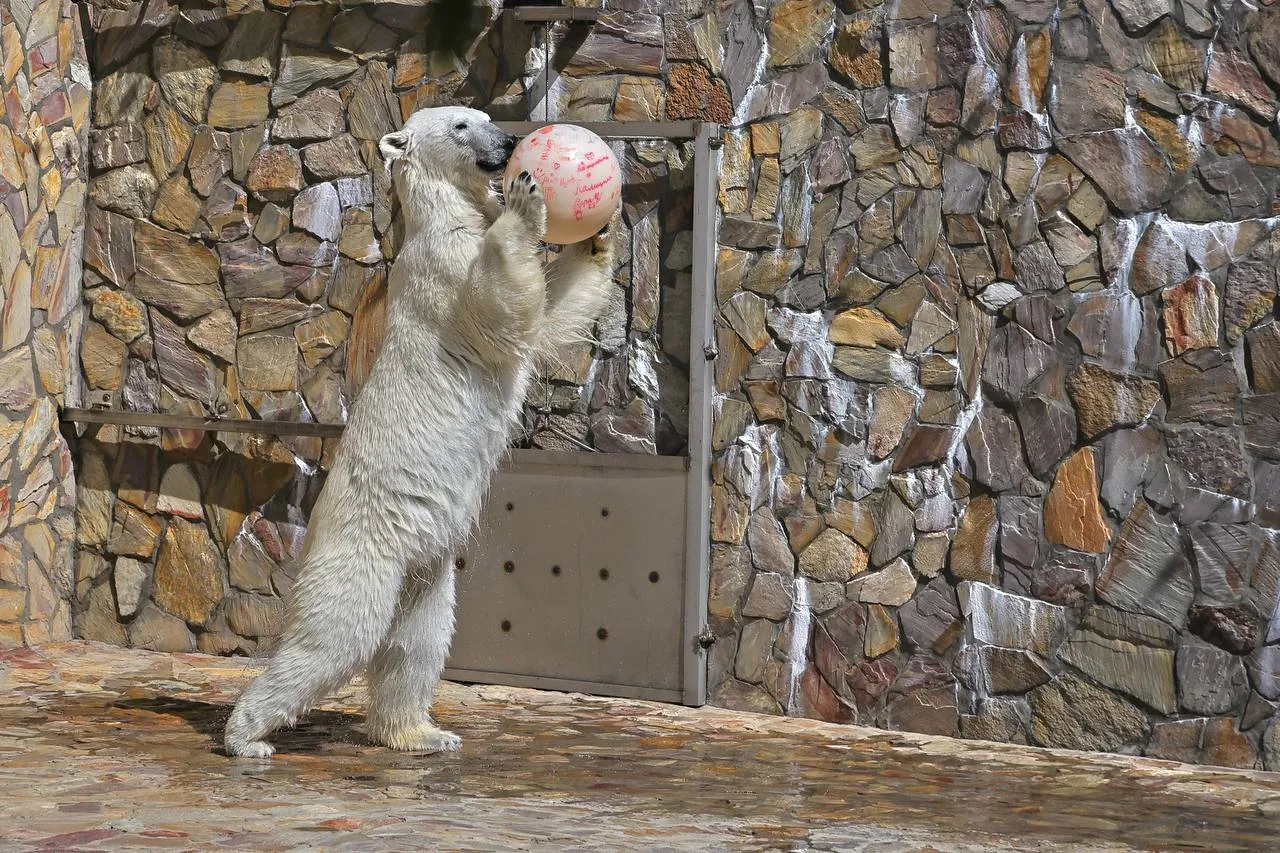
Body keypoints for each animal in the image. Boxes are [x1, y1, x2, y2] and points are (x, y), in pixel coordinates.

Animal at [224, 108, 614, 758]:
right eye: (462, 124)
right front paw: (525, 201)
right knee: (338, 634)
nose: (510, 141)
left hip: (426, 566)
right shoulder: (443, 271)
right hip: (364, 549)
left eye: (486, 117)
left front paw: (598, 237)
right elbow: (498, 310)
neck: (443, 213)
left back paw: (420, 732)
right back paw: (246, 736)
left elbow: (548, 319)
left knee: (417, 641)